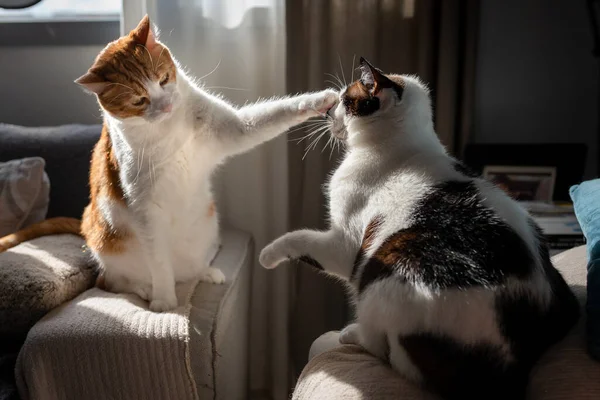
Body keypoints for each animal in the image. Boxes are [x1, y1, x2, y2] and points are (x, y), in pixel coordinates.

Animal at [0, 14, 336, 312]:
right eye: (138, 100)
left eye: (163, 79)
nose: (165, 106)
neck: (170, 129)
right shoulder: (145, 208)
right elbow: (159, 263)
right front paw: (164, 300)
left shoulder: (234, 130)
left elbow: (276, 113)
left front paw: (322, 99)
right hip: (109, 244)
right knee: (112, 282)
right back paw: (146, 289)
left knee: (189, 266)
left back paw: (204, 272)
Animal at [260, 57, 580, 398]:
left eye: (345, 100)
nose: (326, 112)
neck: (397, 146)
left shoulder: (344, 245)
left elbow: (299, 239)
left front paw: (267, 255)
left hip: (383, 276)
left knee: (383, 346)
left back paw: (349, 333)